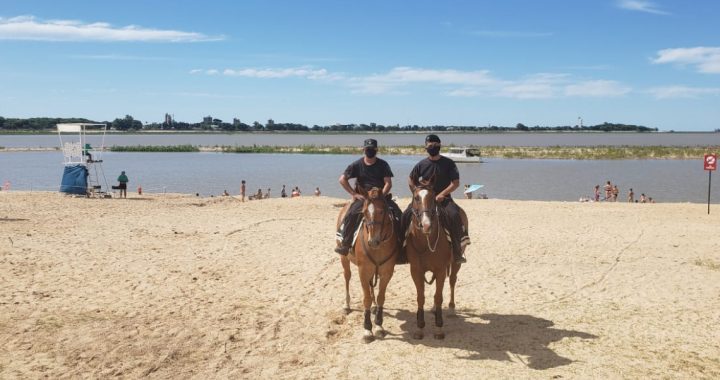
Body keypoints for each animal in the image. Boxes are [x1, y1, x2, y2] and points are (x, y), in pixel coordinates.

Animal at [338, 186, 400, 342]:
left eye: (382, 211)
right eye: (364, 212)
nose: (373, 241)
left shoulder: (386, 272)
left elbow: (381, 297)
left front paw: (378, 325)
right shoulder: (363, 271)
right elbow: (365, 298)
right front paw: (367, 329)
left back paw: (373, 306)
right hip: (344, 258)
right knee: (347, 277)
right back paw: (346, 305)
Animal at [408, 180, 464, 340]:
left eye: (433, 198)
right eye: (416, 198)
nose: (426, 225)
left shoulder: (440, 270)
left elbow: (439, 296)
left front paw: (439, 329)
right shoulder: (416, 271)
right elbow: (421, 297)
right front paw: (419, 328)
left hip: (455, 263)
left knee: (452, 281)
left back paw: (451, 309)